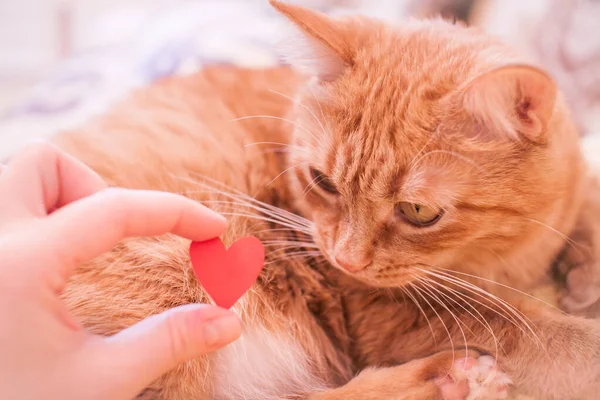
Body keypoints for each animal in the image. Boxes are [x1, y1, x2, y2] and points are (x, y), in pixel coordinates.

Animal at [52, 2, 600, 400]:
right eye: (323, 181)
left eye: (418, 212)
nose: (345, 259)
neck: (513, 254)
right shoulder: (379, 311)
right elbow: (528, 329)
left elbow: (588, 196)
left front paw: (584, 274)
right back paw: (448, 381)